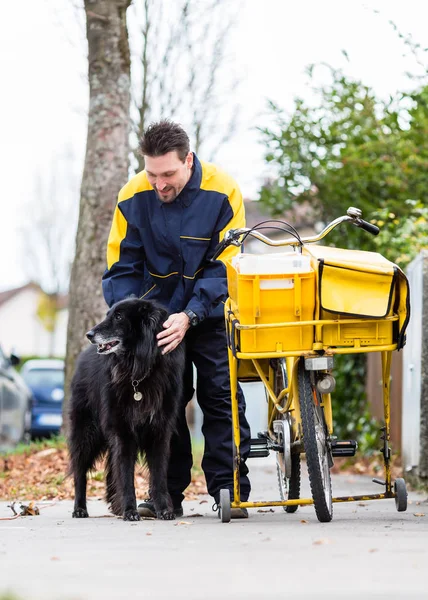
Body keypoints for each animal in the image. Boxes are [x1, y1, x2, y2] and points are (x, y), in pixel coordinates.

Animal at [67, 298, 185, 520]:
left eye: (119, 317)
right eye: (109, 314)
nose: (89, 334)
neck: (139, 371)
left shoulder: (159, 432)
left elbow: (158, 476)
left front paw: (164, 510)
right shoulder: (123, 433)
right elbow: (126, 476)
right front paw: (130, 510)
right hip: (86, 433)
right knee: (79, 471)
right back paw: (80, 508)